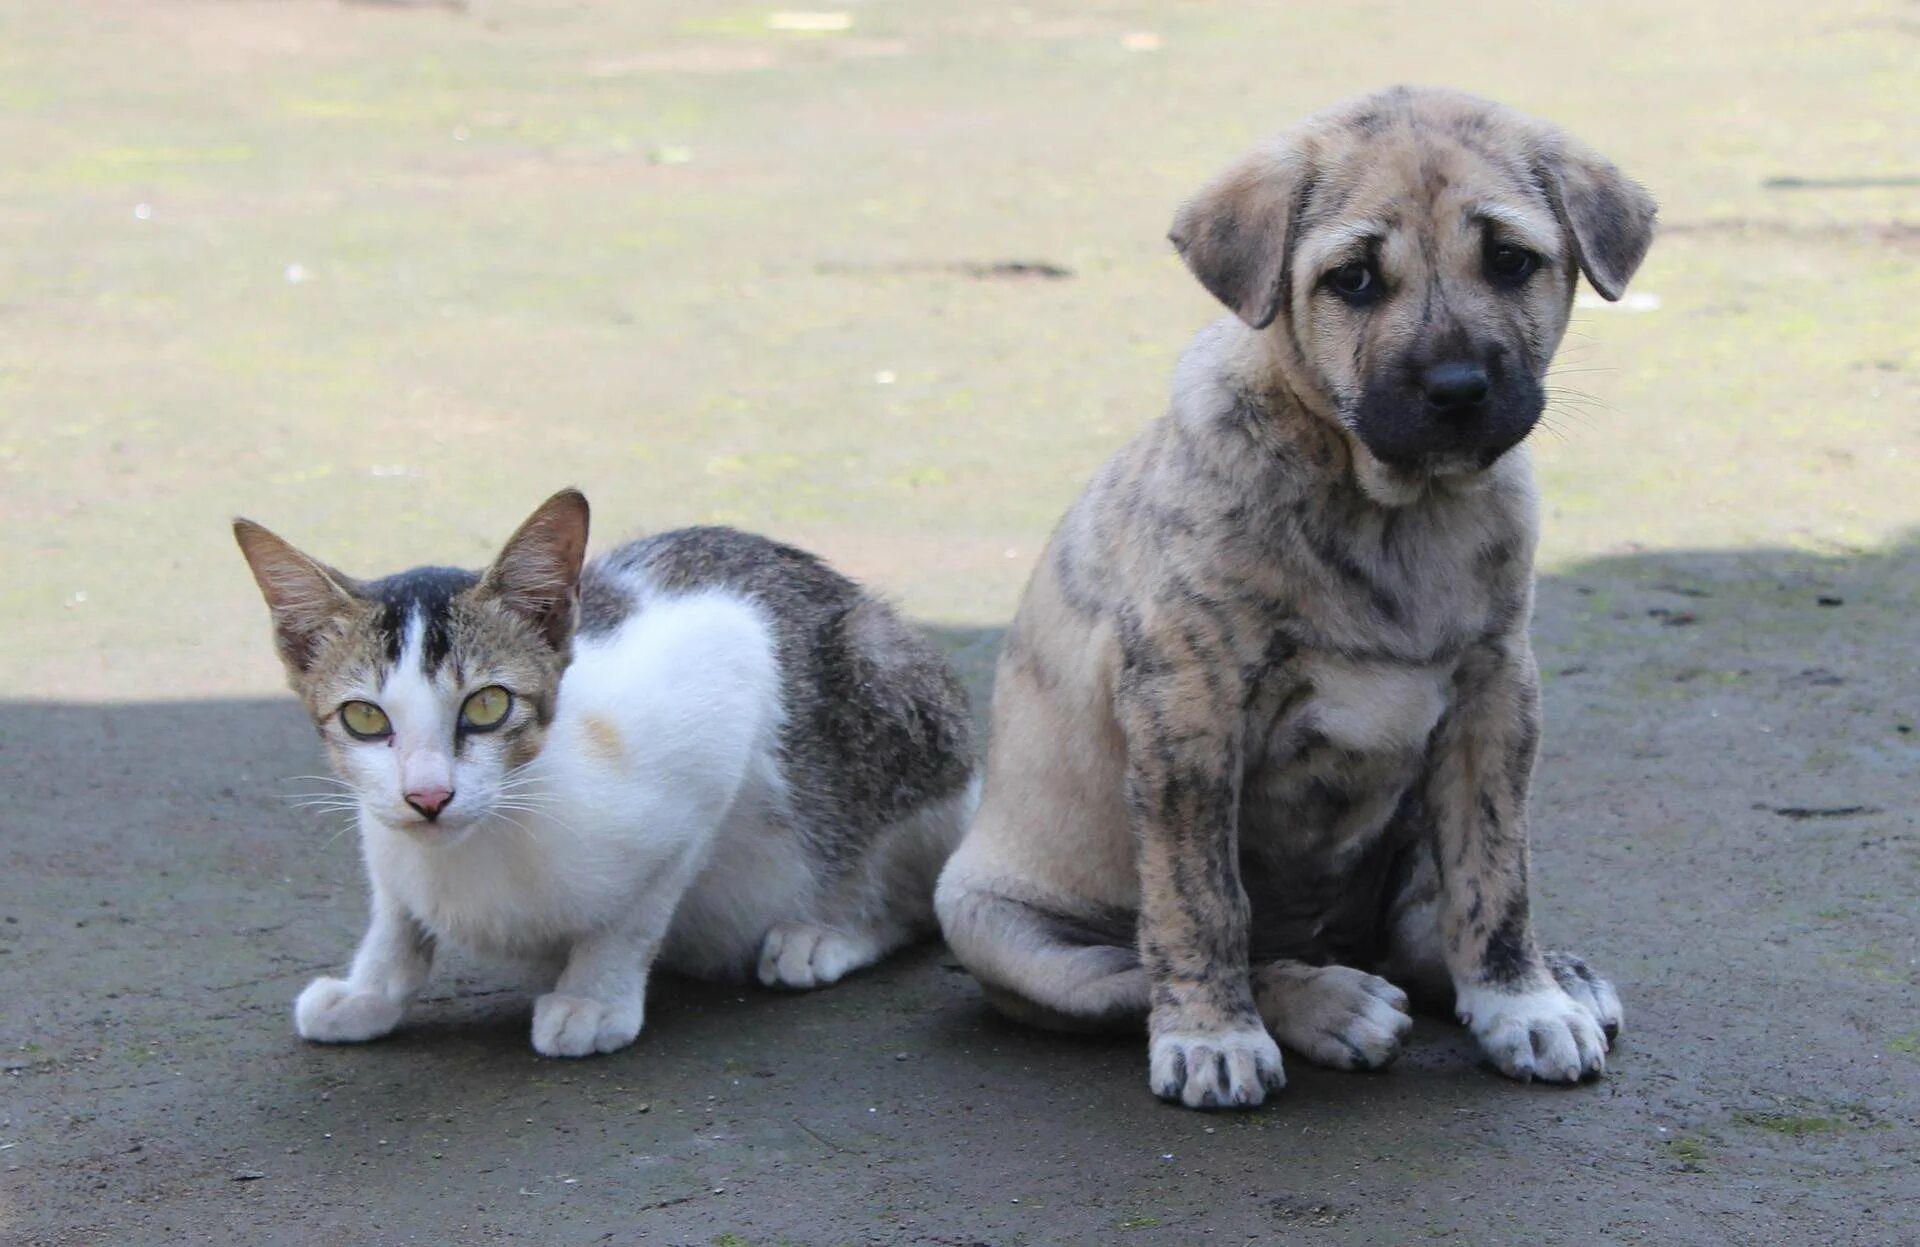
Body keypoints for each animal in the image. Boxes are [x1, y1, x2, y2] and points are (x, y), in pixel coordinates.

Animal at [234, 491, 983, 1052]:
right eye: (364, 718)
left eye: (487, 705)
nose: (428, 796)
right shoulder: (382, 826)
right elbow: (395, 910)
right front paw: (370, 989)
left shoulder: (718, 707)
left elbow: (638, 910)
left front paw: (594, 997)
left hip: (891, 686)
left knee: (917, 897)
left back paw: (832, 930)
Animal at [936, 85, 1658, 1106]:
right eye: (1351, 279)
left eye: (1510, 260)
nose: (1457, 389)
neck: (1392, 510)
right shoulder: (1187, 710)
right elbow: (1202, 902)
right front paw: (1214, 1035)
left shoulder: (1495, 695)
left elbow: (1495, 875)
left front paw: (1522, 1000)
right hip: (1004, 928)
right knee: (1154, 965)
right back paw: (1326, 1002)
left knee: (1422, 927)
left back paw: (1552, 975)